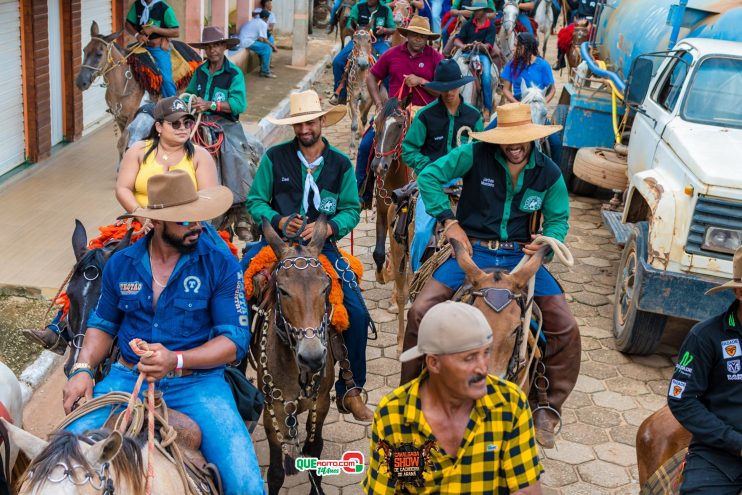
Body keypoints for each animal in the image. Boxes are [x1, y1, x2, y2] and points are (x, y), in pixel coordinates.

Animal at [77, 22, 147, 158]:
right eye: (84, 50)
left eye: (99, 54)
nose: (81, 82)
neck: (123, 85)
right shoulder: (119, 116)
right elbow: (124, 145)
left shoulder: (132, 115)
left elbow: (122, 142)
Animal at [254, 217, 338, 495]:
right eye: (282, 290)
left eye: (326, 287)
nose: (312, 358)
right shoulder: (273, 411)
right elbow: (276, 473)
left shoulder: (320, 404)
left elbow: (315, 451)